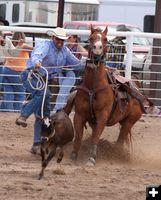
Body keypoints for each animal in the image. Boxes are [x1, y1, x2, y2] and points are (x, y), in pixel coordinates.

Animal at [70, 25, 144, 166]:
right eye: (90, 38)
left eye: (104, 39)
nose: (97, 48)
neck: (93, 87)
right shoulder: (79, 115)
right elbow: (78, 136)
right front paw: (74, 156)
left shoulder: (102, 117)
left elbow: (96, 137)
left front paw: (91, 159)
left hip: (129, 122)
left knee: (120, 140)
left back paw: (117, 156)